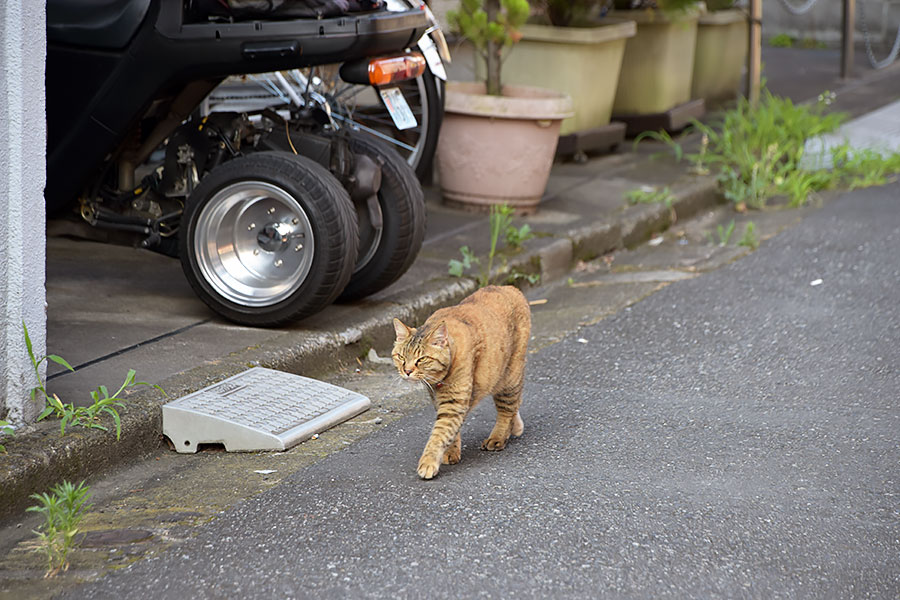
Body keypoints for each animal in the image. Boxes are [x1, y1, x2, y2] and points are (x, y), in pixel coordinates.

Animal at [390, 284, 532, 478]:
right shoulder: (440, 400)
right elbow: (450, 431)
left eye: (422, 359)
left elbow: (439, 433)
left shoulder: (454, 403)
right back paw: (515, 427)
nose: (407, 371)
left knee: (507, 409)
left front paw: (428, 462)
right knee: (514, 404)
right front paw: (451, 451)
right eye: (401, 357)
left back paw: (498, 437)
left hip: (509, 376)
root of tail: (509, 287)